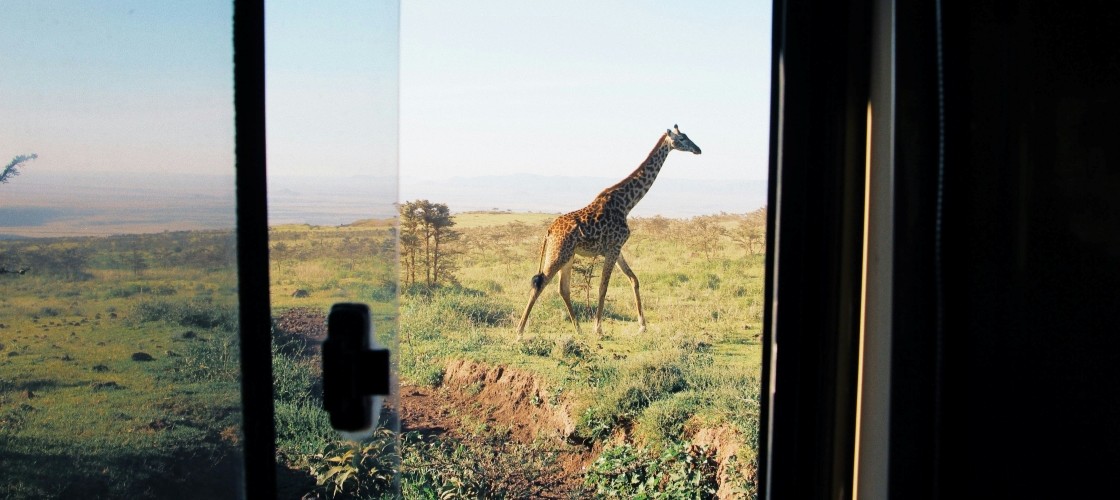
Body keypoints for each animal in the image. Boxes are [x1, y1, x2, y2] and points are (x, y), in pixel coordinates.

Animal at [515, 125, 702, 339]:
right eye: (682, 138)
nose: (698, 149)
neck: (627, 203)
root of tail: (549, 230)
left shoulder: (616, 249)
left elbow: (633, 279)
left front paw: (642, 326)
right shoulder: (613, 248)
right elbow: (603, 287)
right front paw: (598, 328)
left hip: (568, 255)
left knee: (563, 289)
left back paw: (578, 329)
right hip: (559, 253)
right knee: (540, 283)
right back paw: (520, 332)